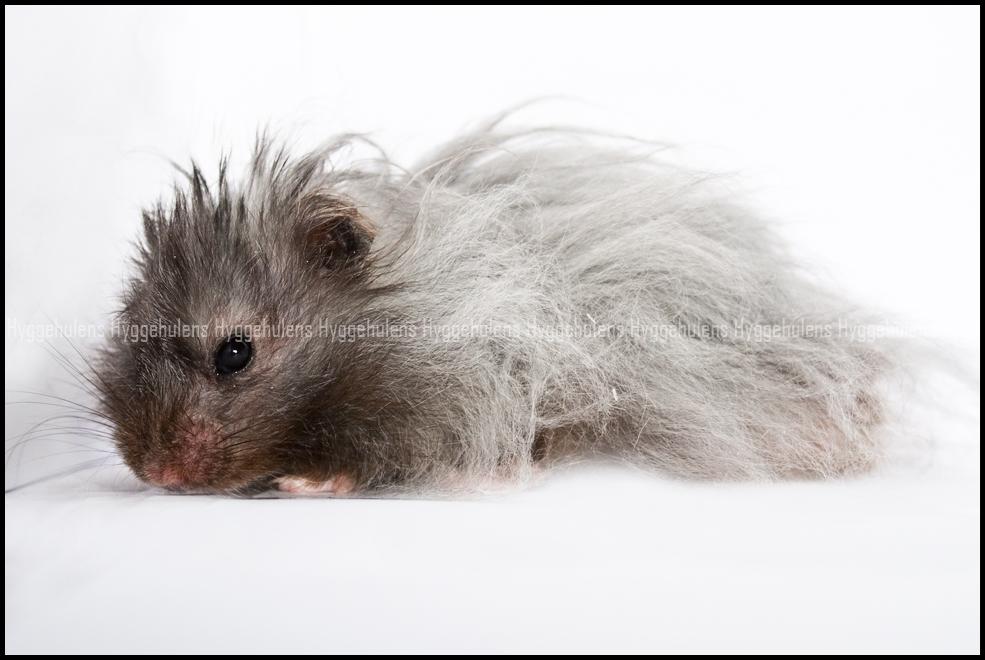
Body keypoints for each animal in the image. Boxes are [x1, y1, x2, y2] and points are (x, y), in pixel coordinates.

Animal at [96, 122, 895, 495]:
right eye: (126, 329)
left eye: (235, 353)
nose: (154, 476)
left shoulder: (441, 404)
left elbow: (374, 460)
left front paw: (302, 483)